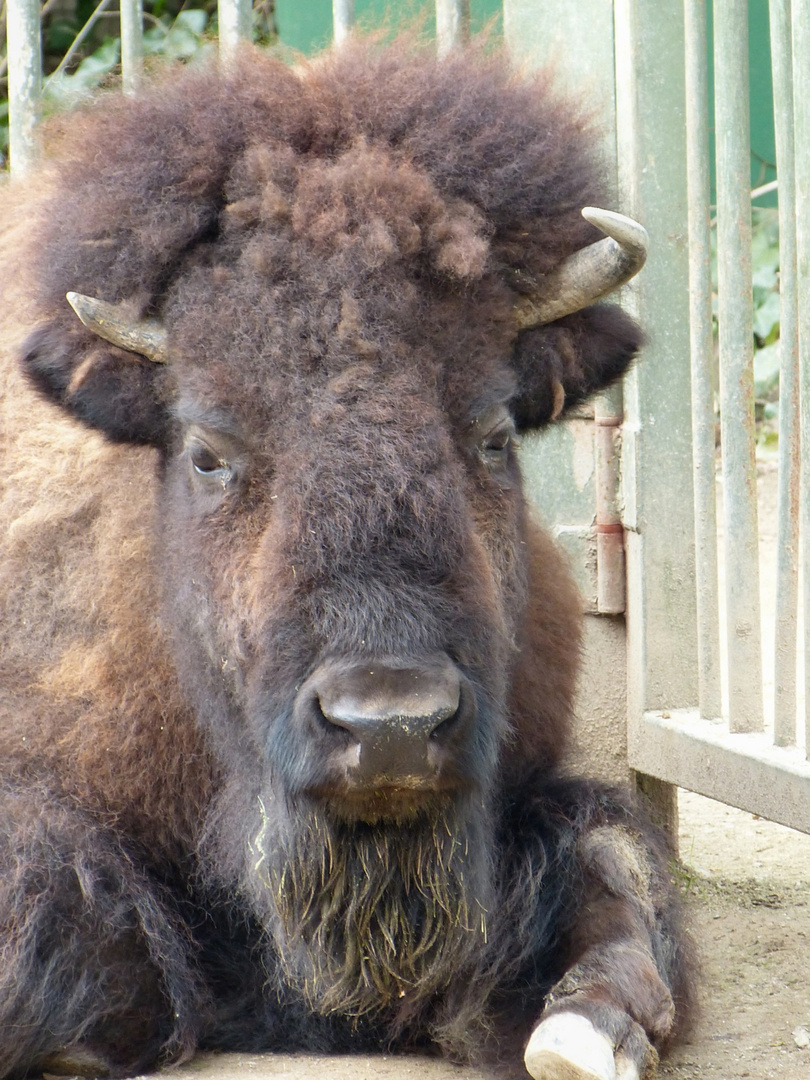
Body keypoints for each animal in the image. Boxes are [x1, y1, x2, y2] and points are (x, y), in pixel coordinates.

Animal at [0, 33, 695, 1080]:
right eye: (208, 450)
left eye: (493, 432)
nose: (391, 724)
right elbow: (77, 911)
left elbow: (608, 853)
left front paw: (589, 1029)